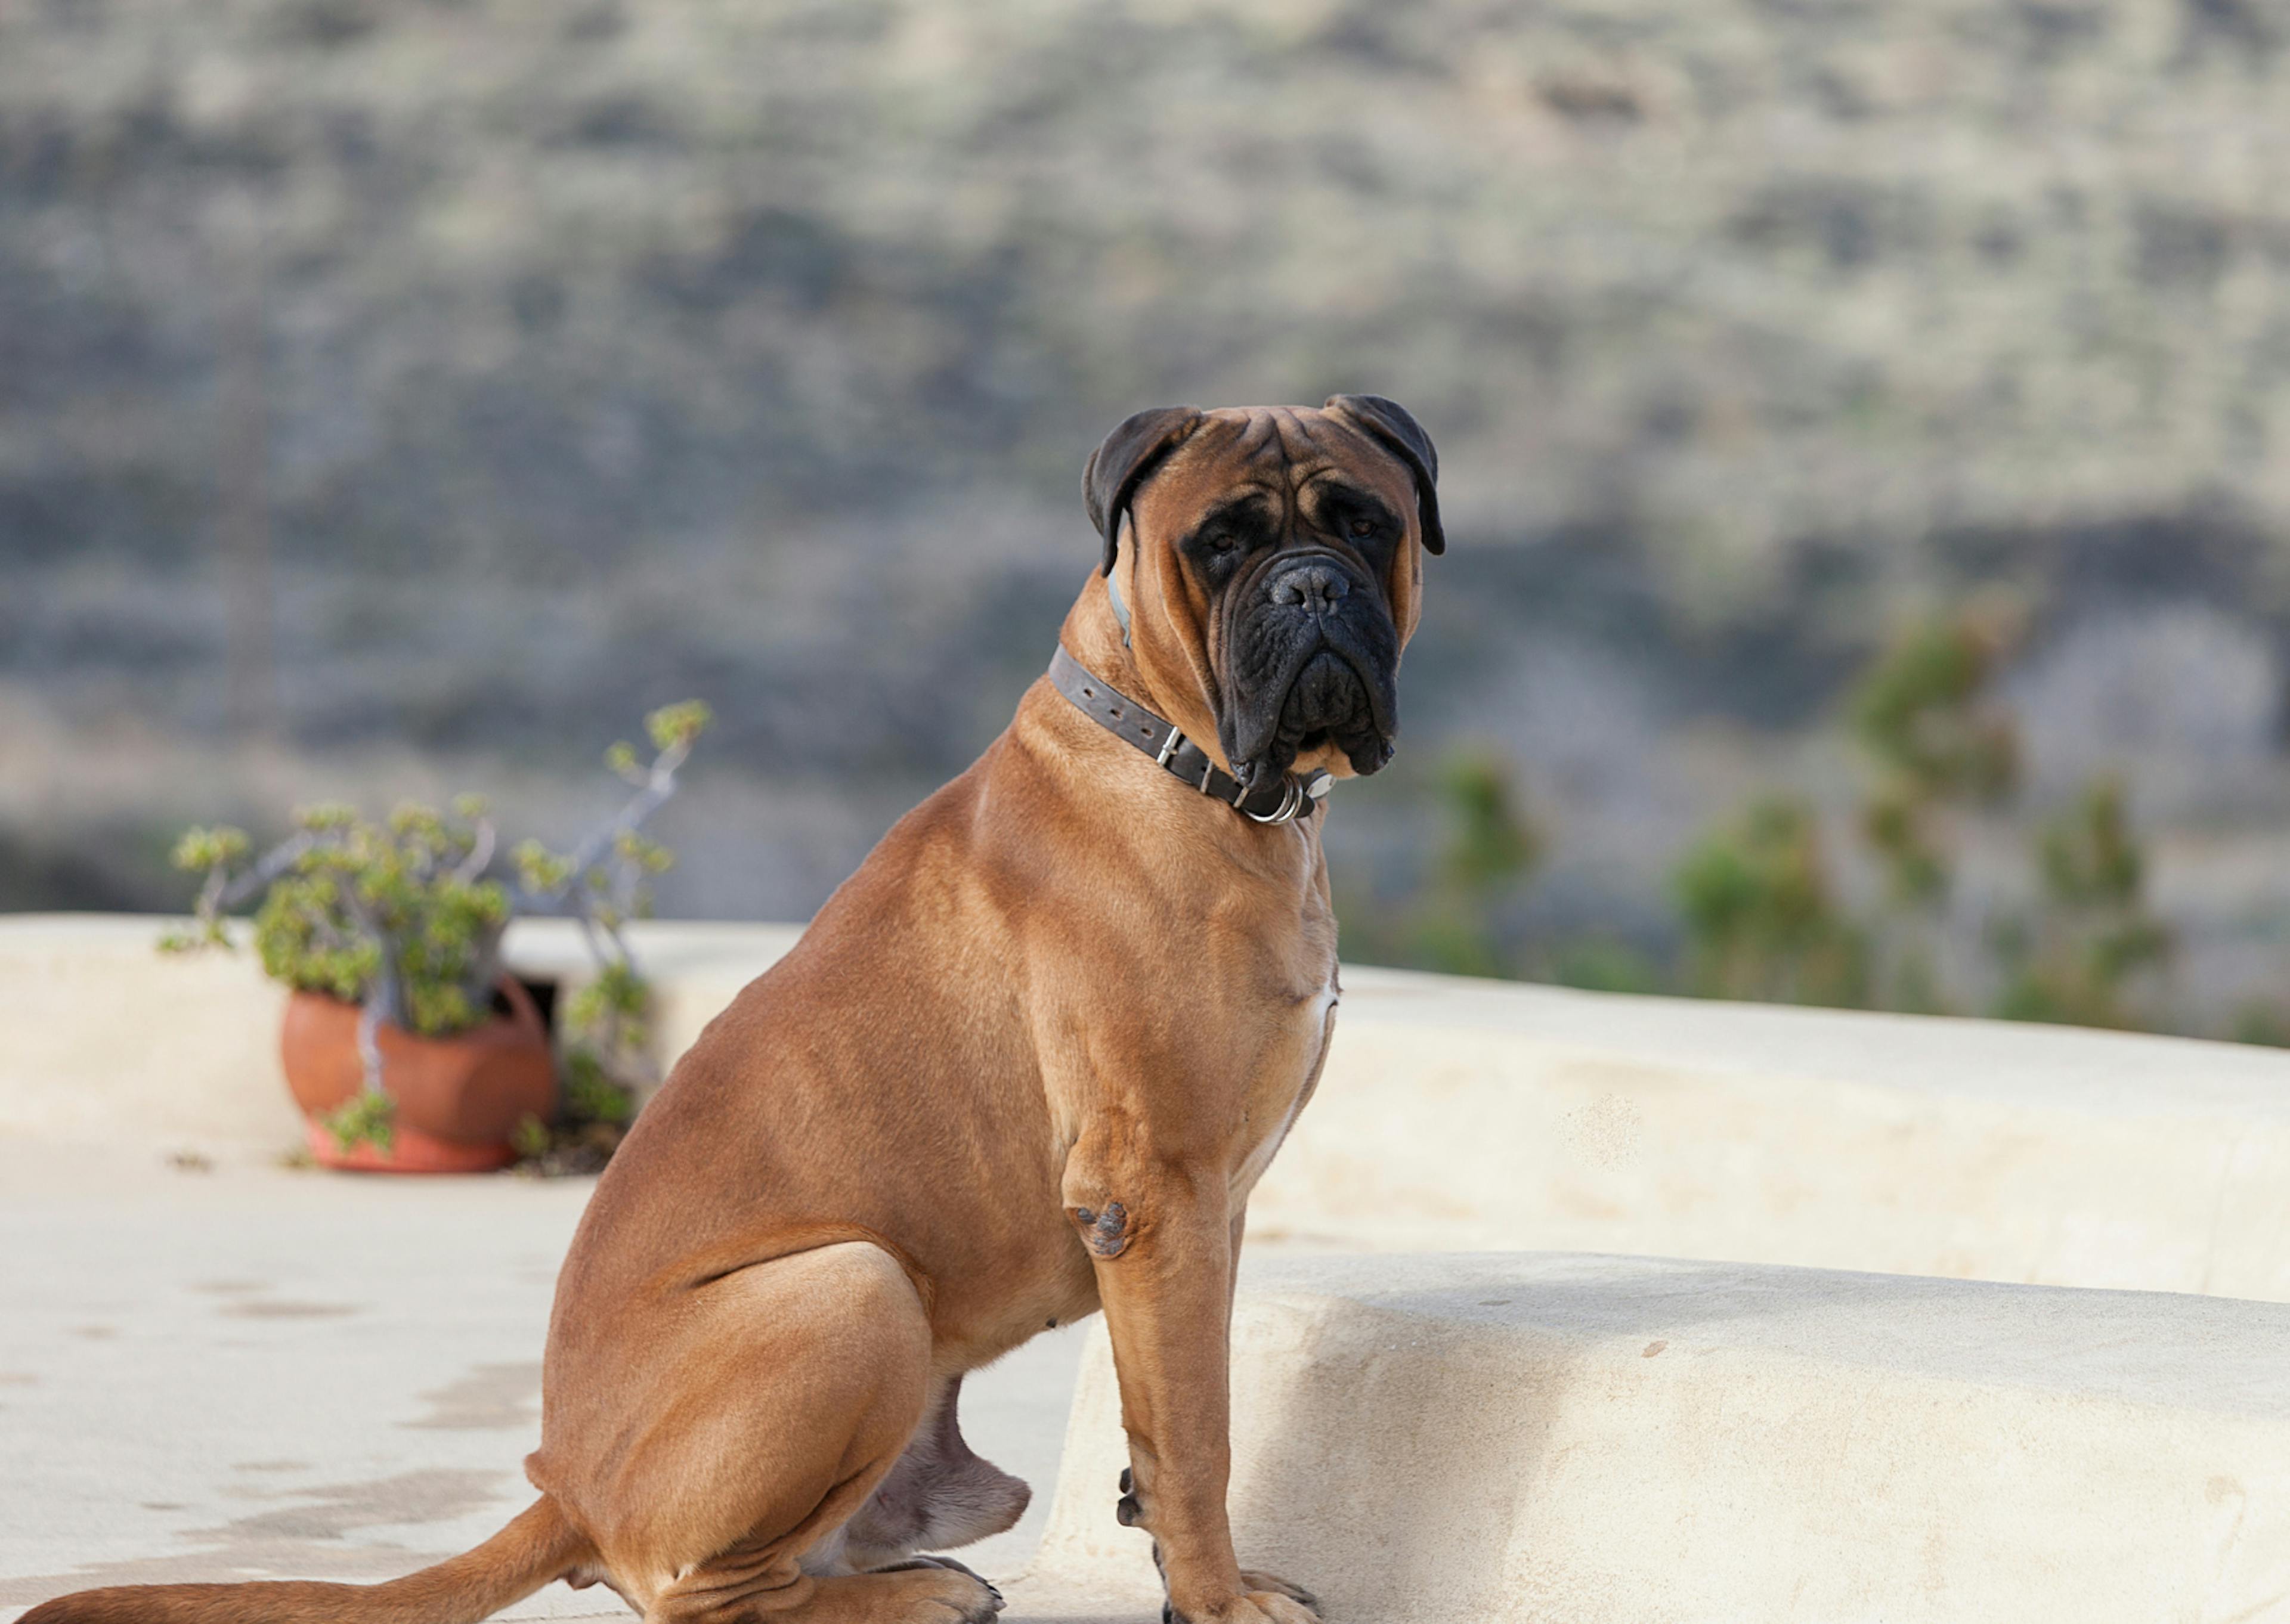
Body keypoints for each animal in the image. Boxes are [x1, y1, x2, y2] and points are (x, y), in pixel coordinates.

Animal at [27, 396, 1438, 1622]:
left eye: (1364, 521)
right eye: (1222, 544)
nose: (1311, 587)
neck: (1176, 750)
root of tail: (568, 1489)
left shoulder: (1203, 1215)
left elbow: (1183, 1411)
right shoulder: (1151, 1195)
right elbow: (1197, 1436)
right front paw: (1219, 1601)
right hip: (854, 1288)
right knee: (706, 1594)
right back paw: (910, 1599)